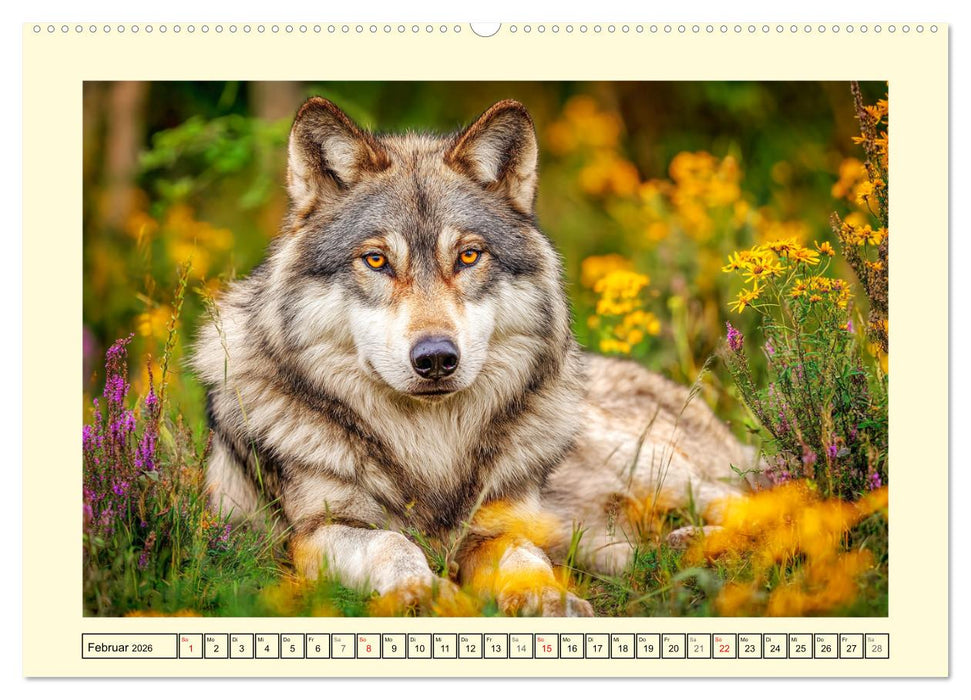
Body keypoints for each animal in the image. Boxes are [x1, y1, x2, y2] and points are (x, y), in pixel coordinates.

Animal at [192, 97, 757, 617]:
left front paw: (550, 601)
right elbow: (392, 543)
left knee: (756, 500)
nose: (436, 358)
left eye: (468, 256)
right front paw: (421, 594)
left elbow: (524, 561)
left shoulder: (498, 526)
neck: (431, 452)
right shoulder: (317, 532)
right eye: (376, 260)